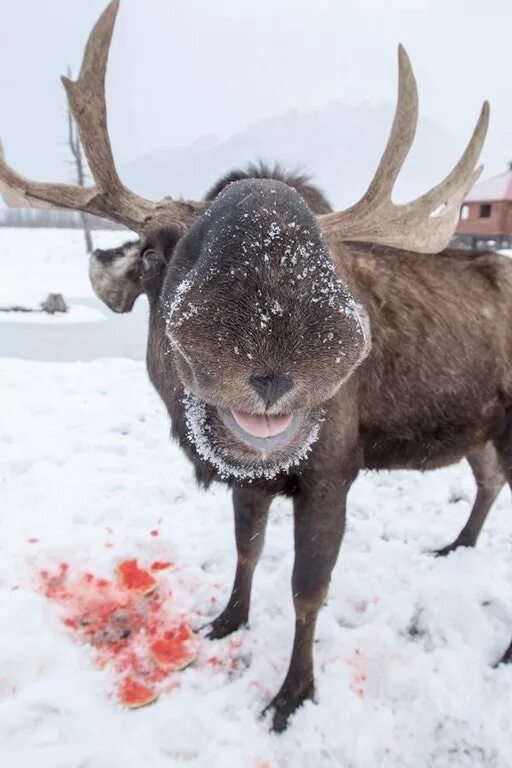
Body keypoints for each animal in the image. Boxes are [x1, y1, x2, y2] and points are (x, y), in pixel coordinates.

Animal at [2, 1, 510, 732]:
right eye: (151, 250)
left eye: (323, 253)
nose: (268, 337)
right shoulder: (250, 478)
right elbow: (247, 548)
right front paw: (226, 620)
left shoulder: (333, 470)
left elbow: (307, 591)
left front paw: (292, 693)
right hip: (479, 430)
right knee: (489, 479)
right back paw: (456, 546)